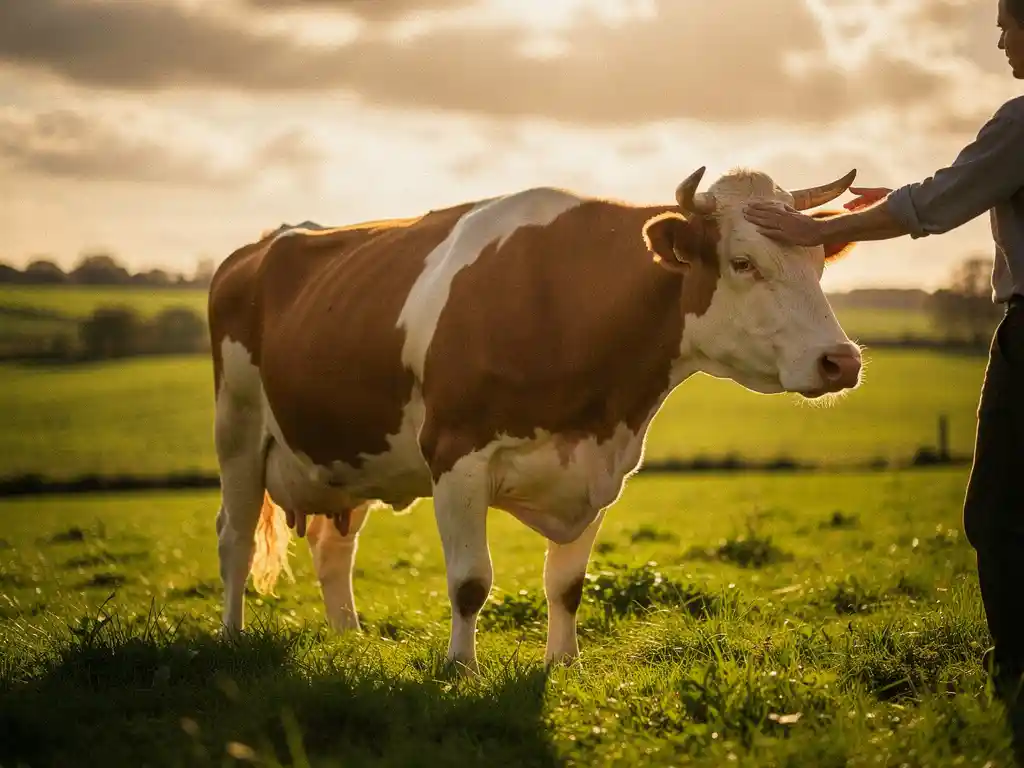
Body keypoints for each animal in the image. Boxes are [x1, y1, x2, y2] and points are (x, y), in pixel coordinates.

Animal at [207, 165, 862, 672]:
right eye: (742, 261)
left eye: (818, 262)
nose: (842, 360)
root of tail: (260, 246)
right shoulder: (455, 454)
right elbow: (471, 581)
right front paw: (460, 667)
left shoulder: (601, 464)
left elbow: (567, 586)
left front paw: (564, 663)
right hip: (237, 429)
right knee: (235, 537)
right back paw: (232, 638)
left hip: (346, 455)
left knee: (332, 547)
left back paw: (350, 638)